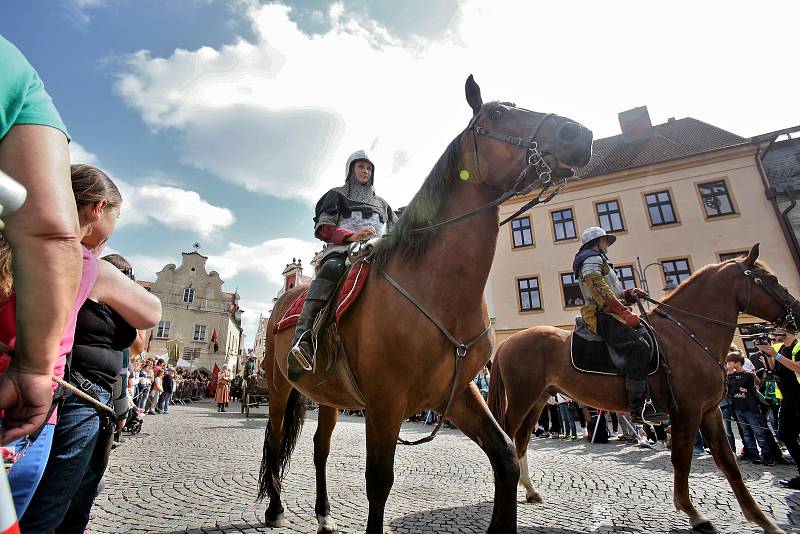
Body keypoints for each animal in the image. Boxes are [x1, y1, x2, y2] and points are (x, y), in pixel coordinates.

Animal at [258, 75, 592, 534]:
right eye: (498, 114)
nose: (578, 134)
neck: (437, 286)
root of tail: (286, 299)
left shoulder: (457, 394)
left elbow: (506, 456)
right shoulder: (385, 403)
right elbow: (379, 482)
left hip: (328, 397)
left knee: (319, 447)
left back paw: (324, 514)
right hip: (278, 387)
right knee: (275, 440)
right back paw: (275, 506)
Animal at [488, 244, 800, 534]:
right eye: (770, 279)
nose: (796, 312)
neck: (688, 335)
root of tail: (507, 342)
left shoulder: (710, 411)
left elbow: (728, 463)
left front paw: (762, 520)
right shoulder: (686, 412)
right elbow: (681, 458)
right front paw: (693, 513)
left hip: (538, 400)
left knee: (520, 441)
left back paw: (529, 489)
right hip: (522, 400)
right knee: (508, 438)